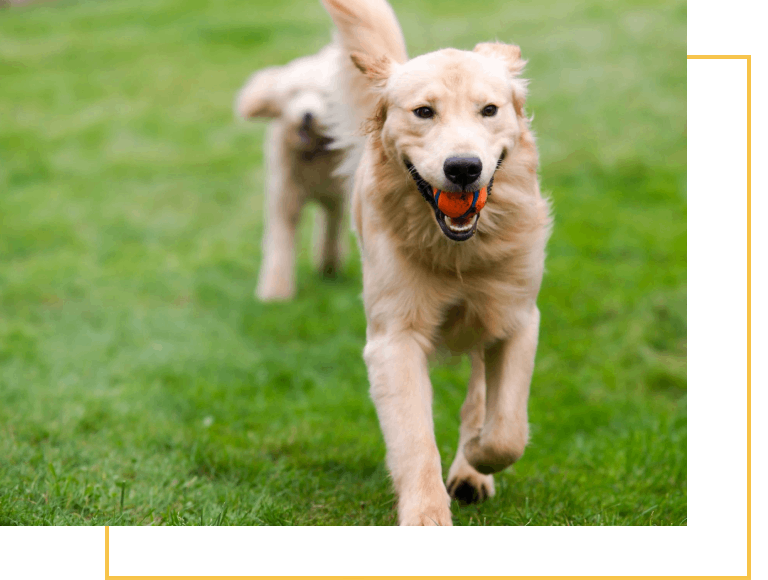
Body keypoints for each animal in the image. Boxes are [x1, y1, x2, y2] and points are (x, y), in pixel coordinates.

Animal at [236, 43, 350, 302]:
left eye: (324, 96)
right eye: (294, 93)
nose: (307, 115)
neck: (312, 153)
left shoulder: (334, 197)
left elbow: (331, 229)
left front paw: (328, 266)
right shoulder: (284, 197)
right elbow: (280, 243)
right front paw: (275, 293)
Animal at [320, 0, 552, 524]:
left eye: (489, 110)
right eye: (424, 112)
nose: (463, 168)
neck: (460, 251)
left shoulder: (517, 318)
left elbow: (507, 431)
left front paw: (478, 456)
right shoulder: (394, 339)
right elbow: (415, 441)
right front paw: (426, 510)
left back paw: (470, 468)